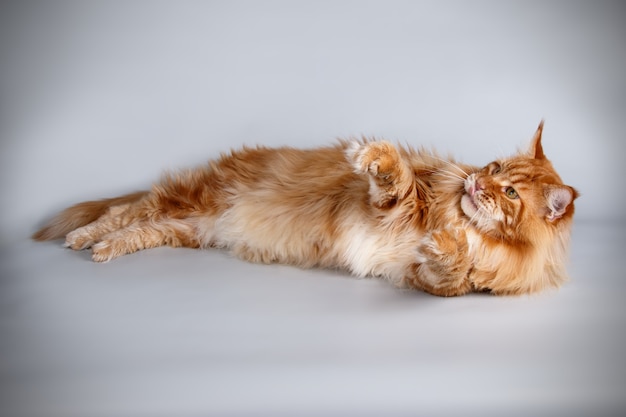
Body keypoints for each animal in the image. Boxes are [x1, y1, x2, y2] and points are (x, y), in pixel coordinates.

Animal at [33, 120, 576, 296]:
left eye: (511, 193)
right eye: (493, 166)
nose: (477, 181)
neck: (461, 217)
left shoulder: (432, 281)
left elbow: (450, 266)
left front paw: (447, 243)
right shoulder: (393, 204)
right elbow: (395, 178)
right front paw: (372, 154)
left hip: (183, 228)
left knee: (134, 228)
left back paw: (101, 249)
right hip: (184, 198)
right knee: (120, 213)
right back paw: (81, 239)